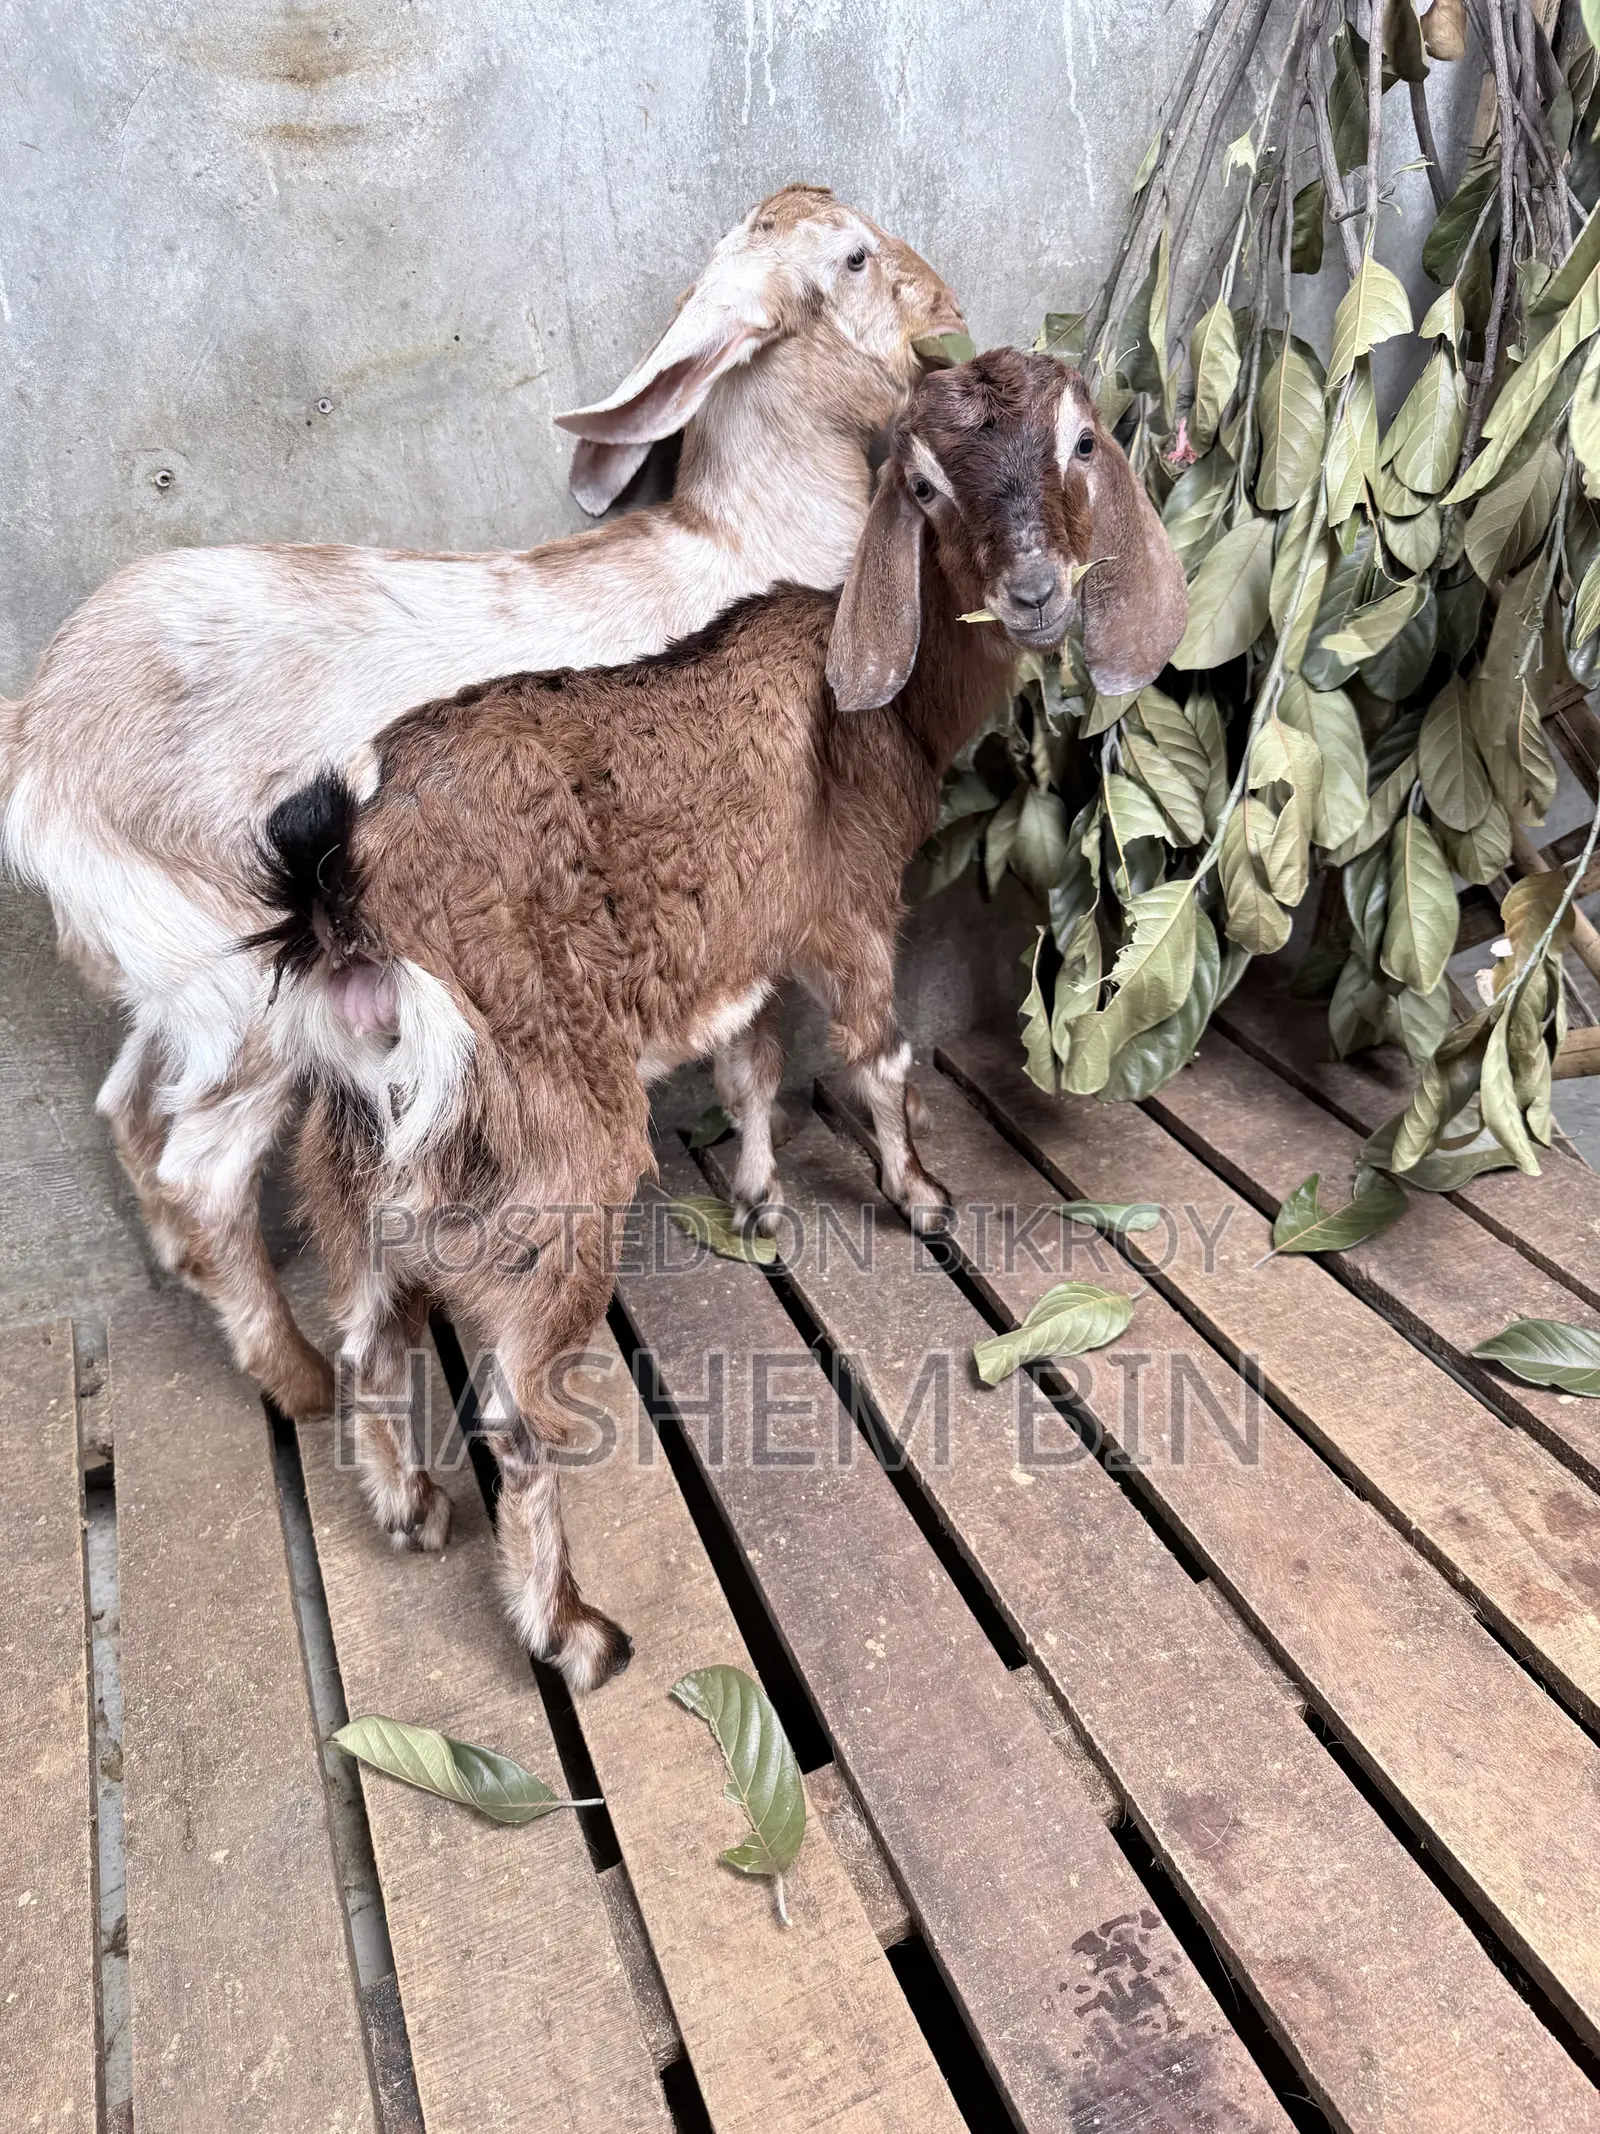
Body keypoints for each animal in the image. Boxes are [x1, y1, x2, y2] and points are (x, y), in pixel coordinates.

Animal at [0, 184, 962, 1423]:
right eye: (851, 257)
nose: (947, 309)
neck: (741, 540)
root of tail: (36, 742)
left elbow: (748, 1057)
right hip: (254, 993)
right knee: (201, 1168)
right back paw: (300, 1380)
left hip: (177, 977)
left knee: (128, 1109)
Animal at [250, 348, 1188, 1691]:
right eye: (921, 482)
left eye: (1079, 442)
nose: (1033, 592)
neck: (883, 704)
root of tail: (352, 902)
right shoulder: (846, 912)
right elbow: (878, 1054)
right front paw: (920, 1195)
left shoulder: (740, 948)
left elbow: (748, 1067)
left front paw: (755, 1200)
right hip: (554, 1152)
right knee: (515, 1412)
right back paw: (570, 1629)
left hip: (354, 1152)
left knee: (367, 1334)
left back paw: (407, 1507)